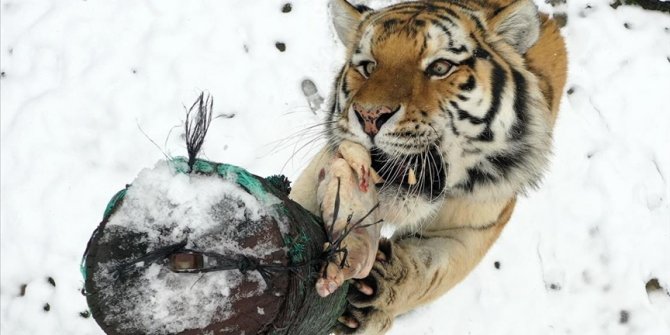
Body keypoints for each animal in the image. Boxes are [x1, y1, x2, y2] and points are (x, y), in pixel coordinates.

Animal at [288, 0, 568, 334]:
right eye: (368, 67)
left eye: (440, 67)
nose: (369, 116)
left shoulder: (477, 222)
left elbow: (433, 269)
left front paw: (378, 294)